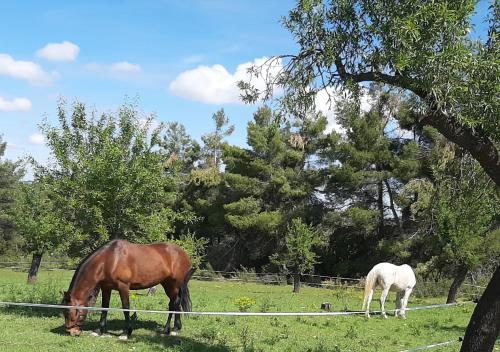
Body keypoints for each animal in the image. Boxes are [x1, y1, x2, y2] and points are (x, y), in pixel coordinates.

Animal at [61, 239, 194, 338]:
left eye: (68, 312)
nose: (71, 332)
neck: (110, 259)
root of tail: (183, 253)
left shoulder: (123, 286)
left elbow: (126, 308)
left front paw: (126, 332)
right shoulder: (106, 287)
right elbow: (105, 308)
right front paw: (99, 330)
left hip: (174, 285)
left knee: (175, 303)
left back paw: (171, 329)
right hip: (167, 284)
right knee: (174, 304)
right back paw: (172, 328)